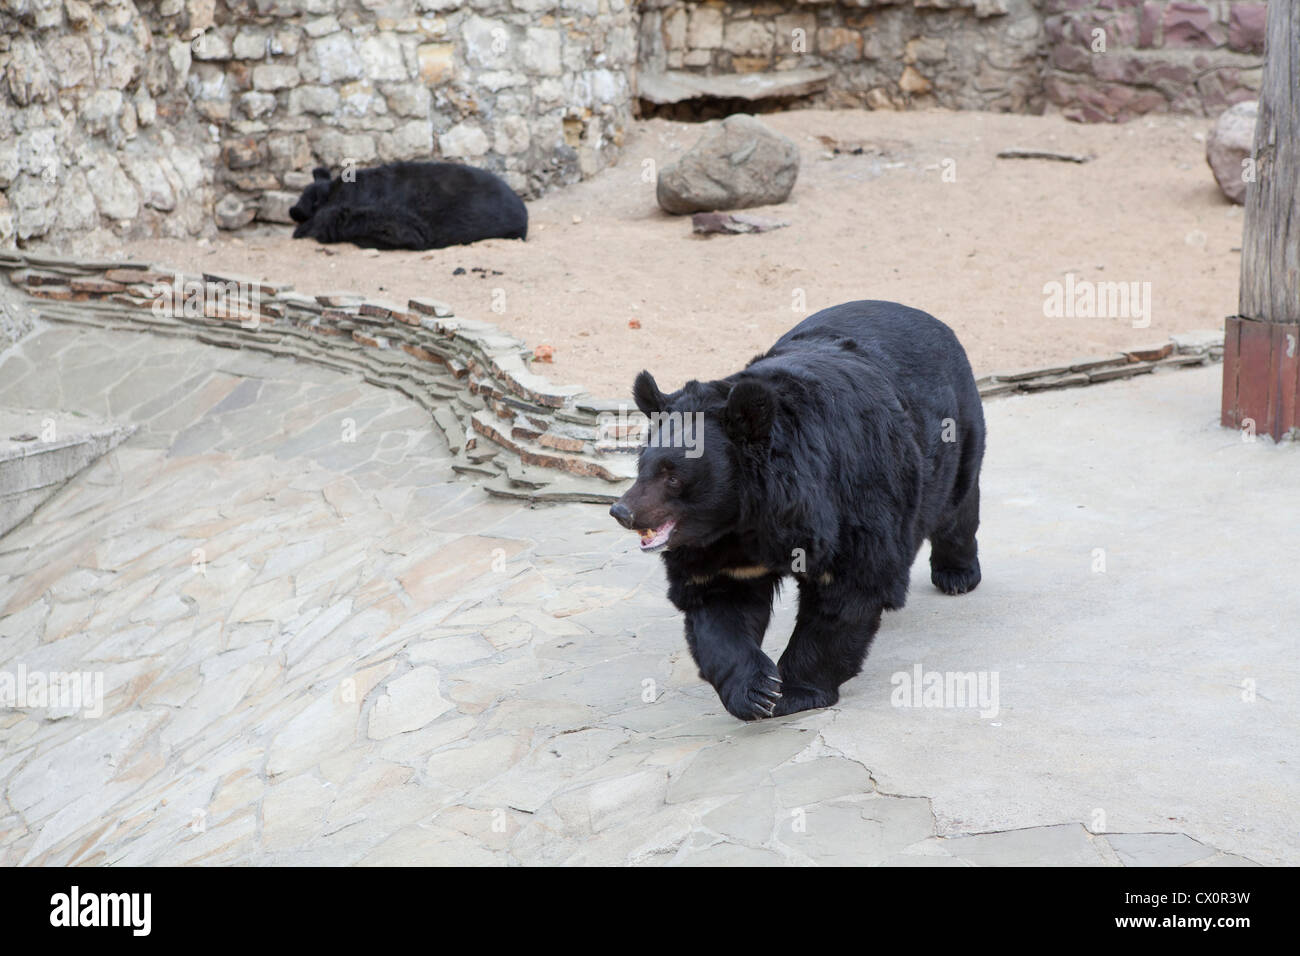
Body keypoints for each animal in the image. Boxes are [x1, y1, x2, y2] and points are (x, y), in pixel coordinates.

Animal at [608, 299, 982, 717]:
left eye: (672, 476)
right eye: (643, 466)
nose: (622, 512)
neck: (745, 518)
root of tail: (921, 314)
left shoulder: (850, 497)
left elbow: (848, 588)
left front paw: (793, 692)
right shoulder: (722, 551)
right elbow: (719, 605)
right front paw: (756, 692)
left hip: (955, 432)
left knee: (956, 506)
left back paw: (956, 575)